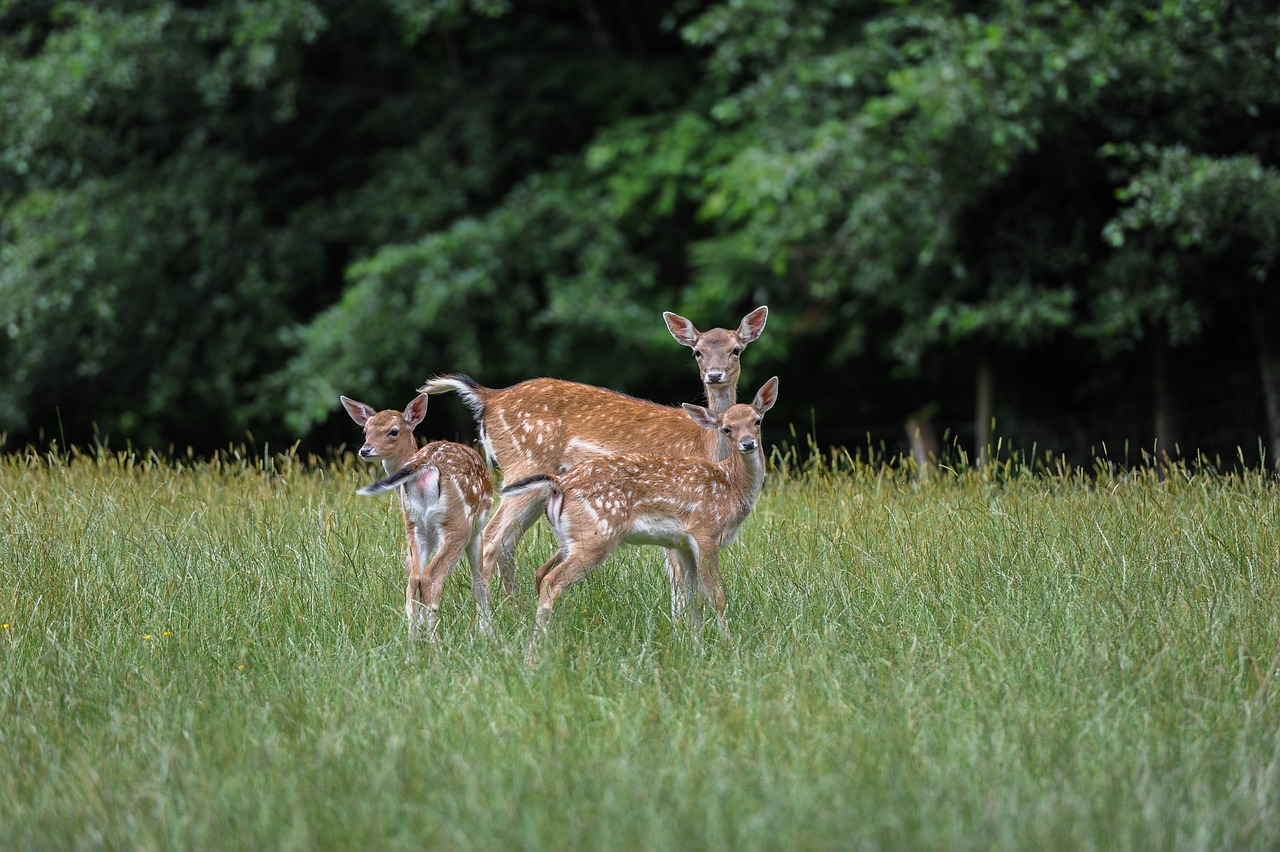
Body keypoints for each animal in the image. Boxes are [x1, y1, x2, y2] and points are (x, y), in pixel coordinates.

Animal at [340, 394, 494, 639]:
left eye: (393, 431)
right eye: (365, 430)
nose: (366, 449)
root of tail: (423, 464)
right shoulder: (476, 530)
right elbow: (479, 582)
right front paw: (487, 632)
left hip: (413, 524)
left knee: (414, 580)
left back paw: (412, 643)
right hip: (458, 522)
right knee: (431, 578)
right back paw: (435, 642)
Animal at [417, 305, 768, 616]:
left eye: (736, 350)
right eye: (697, 352)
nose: (714, 375)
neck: (706, 445)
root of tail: (490, 398)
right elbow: (679, 578)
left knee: (507, 543)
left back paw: (516, 615)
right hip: (524, 462)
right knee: (492, 539)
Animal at [499, 373, 778, 649]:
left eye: (757, 421)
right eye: (726, 429)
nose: (747, 443)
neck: (732, 487)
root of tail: (559, 484)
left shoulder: (683, 543)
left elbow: (692, 596)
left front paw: (695, 645)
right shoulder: (706, 530)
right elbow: (715, 595)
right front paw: (729, 647)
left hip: (573, 538)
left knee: (542, 573)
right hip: (596, 534)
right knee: (551, 580)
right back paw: (534, 650)